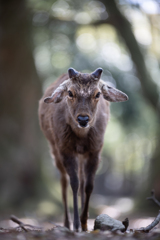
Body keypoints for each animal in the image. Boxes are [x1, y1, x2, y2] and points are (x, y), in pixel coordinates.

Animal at [38, 67, 128, 231]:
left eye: (98, 94)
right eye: (70, 93)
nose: (83, 119)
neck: (81, 137)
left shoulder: (95, 150)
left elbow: (89, 186)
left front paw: (85, 223)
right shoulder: (64, 149)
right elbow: (74, 183)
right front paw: (76, 224)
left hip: (82, 155)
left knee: (82, 180)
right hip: (54, 148)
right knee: (63, 182)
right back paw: (67, 224)